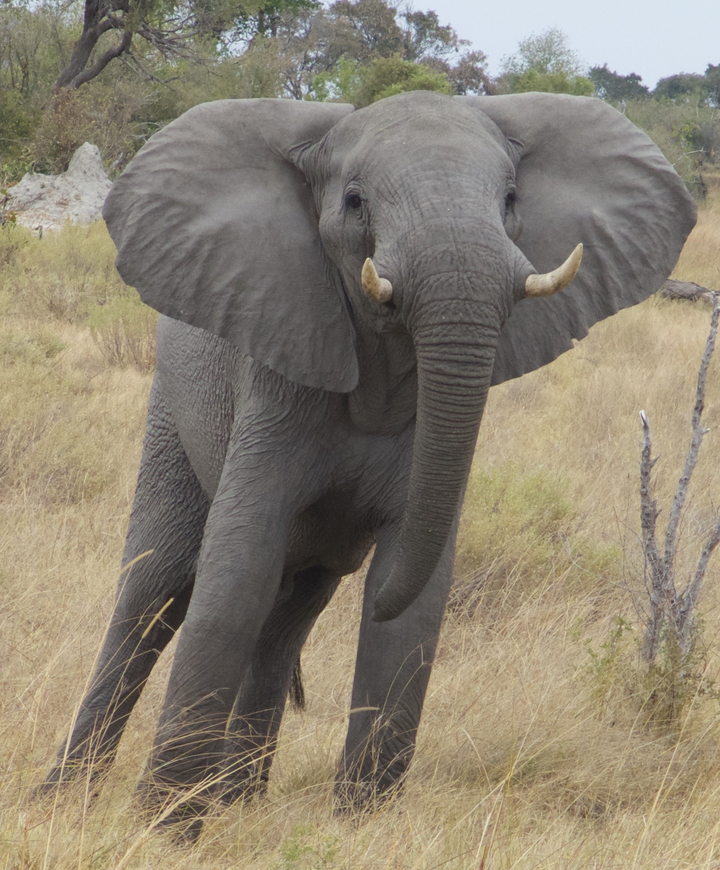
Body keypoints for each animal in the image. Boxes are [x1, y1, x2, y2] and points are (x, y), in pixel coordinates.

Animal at [41, 91, 695, 833]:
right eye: (355, 201)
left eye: (510, 199)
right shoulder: (275, 380)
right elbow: (236, 573)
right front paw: (165, 829)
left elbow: (412, 608)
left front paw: (359, 824)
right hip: (172, 411)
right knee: (155, 590)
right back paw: (68, 798)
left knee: (288, 614)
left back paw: (239, 801)